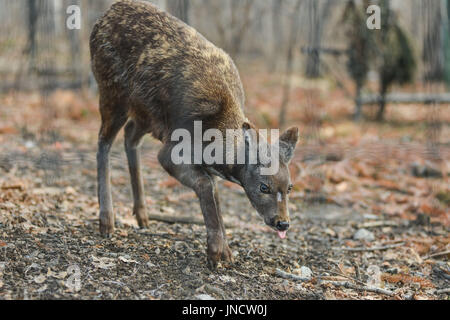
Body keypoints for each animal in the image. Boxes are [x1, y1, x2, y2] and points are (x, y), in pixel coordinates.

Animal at [89, 0, 298, 268]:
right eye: (264, 186)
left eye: (290, 187)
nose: (283, 223)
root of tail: (104, 15)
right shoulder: (171, 151)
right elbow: (206, 185)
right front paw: (215, 251)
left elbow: (215, 193)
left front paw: (226, 251)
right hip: (112, 92)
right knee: (103, 142)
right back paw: (107, 220)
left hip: (146, 114)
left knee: (130, 135)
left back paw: (142, 215)